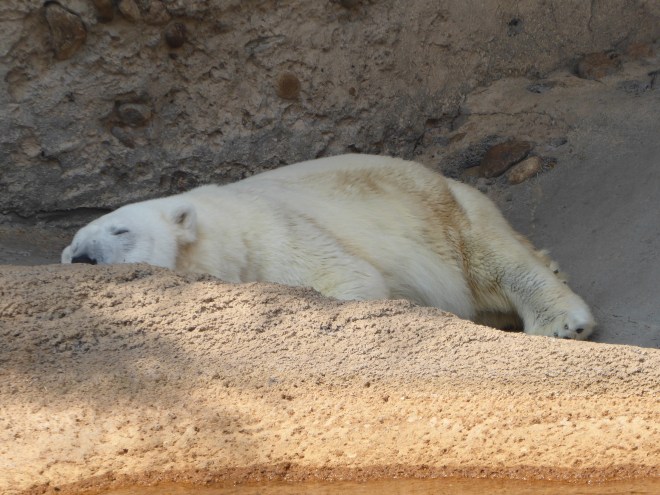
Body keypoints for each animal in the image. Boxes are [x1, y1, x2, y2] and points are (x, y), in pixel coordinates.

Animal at [61, 154, 595, 339]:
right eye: (70, 249)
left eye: (120, 232)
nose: (82, 260)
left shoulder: (273, 233)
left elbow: (347, 276)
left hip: (441, 214)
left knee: (494, 259)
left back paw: (562, 321)